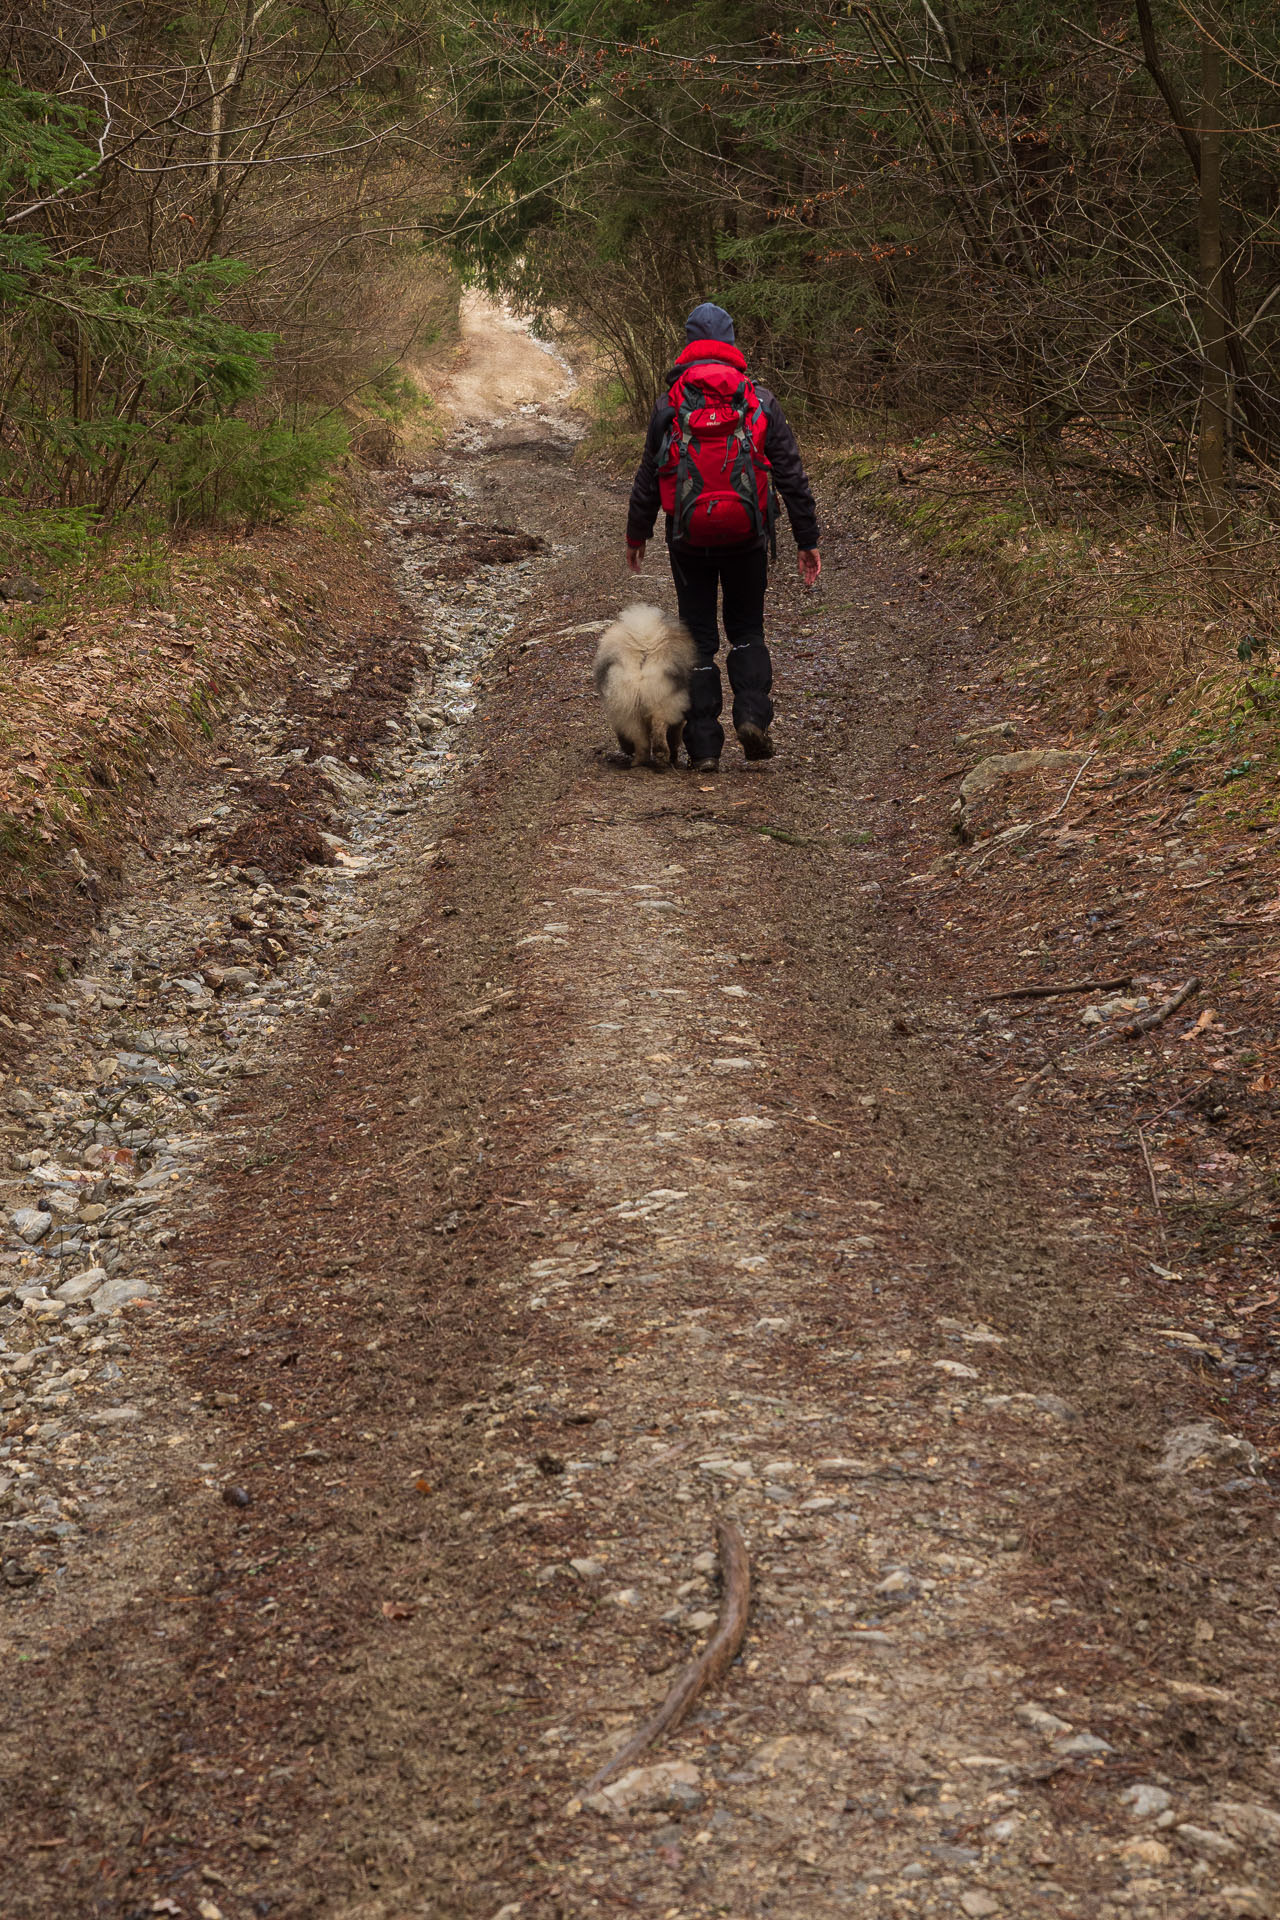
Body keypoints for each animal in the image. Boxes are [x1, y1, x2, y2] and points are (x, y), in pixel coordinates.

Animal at [594, 606, 694, 771]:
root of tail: (644, 649)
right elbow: (674, 738)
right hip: (664, 703)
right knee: (659, 730)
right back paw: (662, 757)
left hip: (628, 707)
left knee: (640, 740)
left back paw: (638, 761)